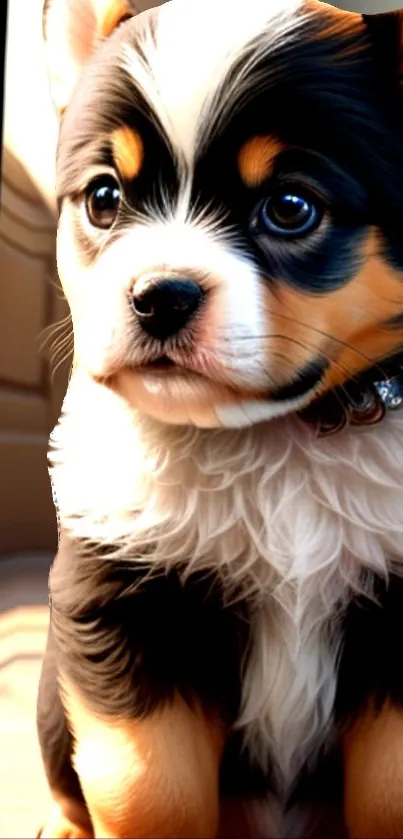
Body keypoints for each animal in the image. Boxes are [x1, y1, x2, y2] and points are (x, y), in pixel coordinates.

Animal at [37, 0, 403, 836]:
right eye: (104, 198)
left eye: (291, 207)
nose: (159, 296)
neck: (278, 443)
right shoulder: (122, 602)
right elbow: (148, 793)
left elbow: (388, 795)